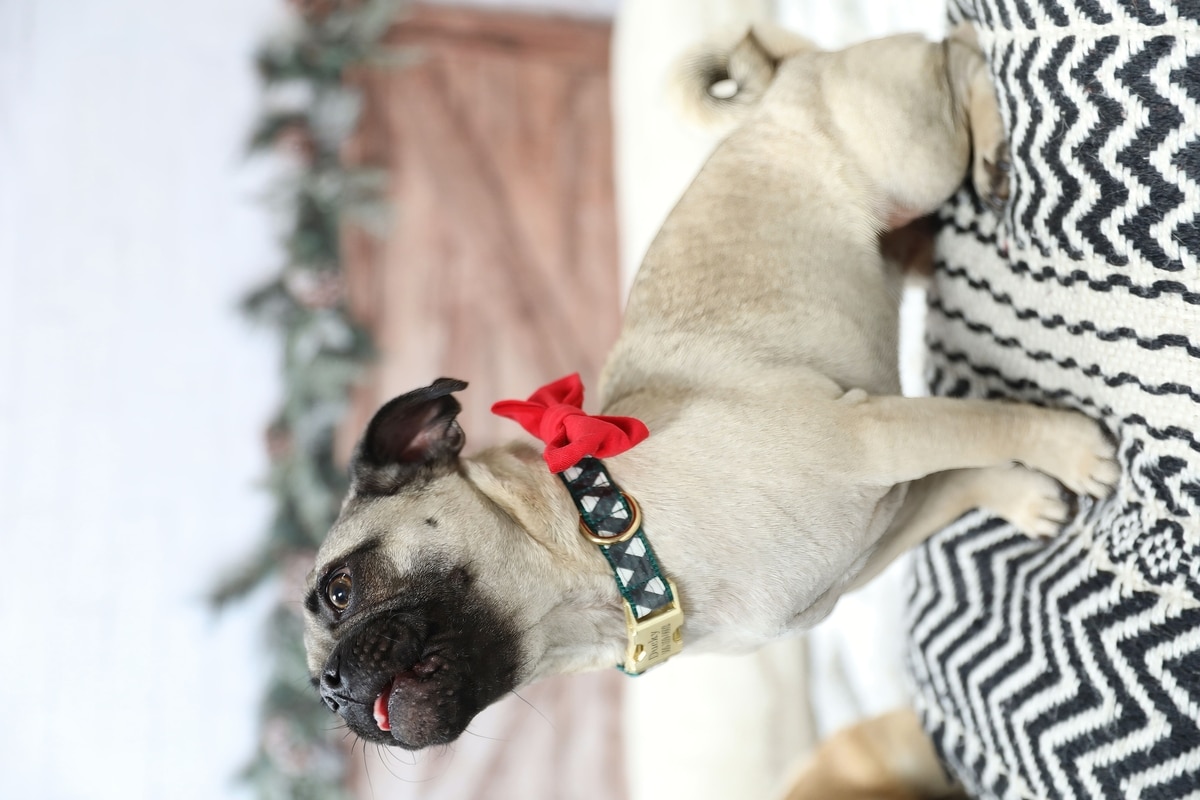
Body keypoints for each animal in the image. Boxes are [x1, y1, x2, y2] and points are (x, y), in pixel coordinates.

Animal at [303, 25, 1118, 752]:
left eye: (341, 591)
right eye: (315, 684)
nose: (329, 689)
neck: (607, 550)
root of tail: (778, 84)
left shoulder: (873, 436)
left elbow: (989, 420)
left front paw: (1073, 450)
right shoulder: (883, 523)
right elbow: (960, 477)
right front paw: (1026, 495)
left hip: (914, 154)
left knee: (958, 52)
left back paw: (991, 148)